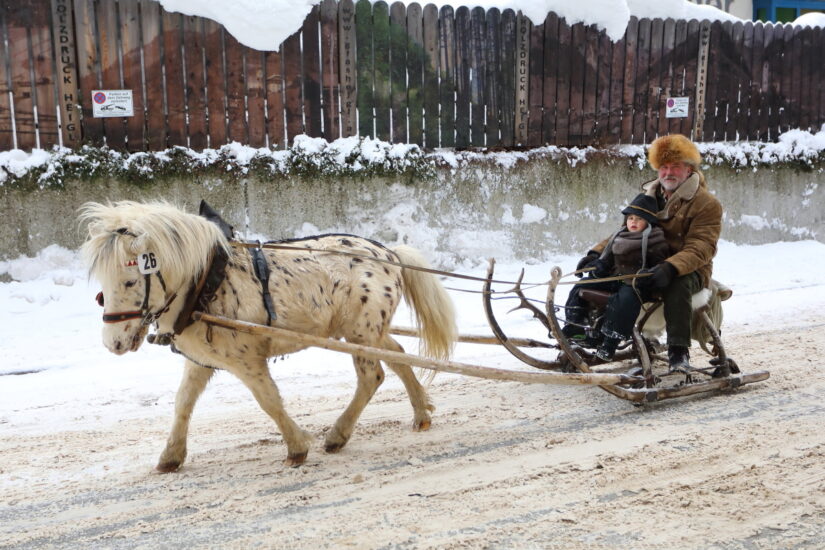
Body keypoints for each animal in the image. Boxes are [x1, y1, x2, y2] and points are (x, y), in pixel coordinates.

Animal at [80, 203, 458, 474]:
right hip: (366, 331)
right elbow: (183, 403)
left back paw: (338, 435)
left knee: (372, 376)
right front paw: (171, 456)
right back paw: (420, 413)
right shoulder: (201, 360)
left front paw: (297, 448)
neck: (207, 282)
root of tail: (390, 255)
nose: (112, 342)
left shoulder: (247, 360)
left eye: (130, 281)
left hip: (362, 332)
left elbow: (269, 401)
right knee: (399, 356)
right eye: (102, 286)